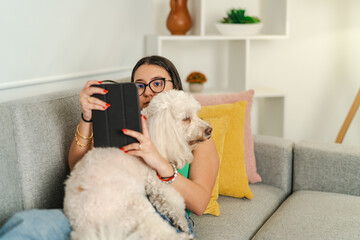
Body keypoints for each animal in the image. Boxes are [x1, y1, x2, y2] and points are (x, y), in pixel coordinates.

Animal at [63, 90, 212, 240]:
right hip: (139, 210)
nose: (210, 130)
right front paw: (183, 222)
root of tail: (85, 224)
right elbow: (174, 202)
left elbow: (163, 204)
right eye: (186, 118)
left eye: (196, 114)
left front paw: (181, 224)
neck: (151, 132)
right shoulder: (156, 179)